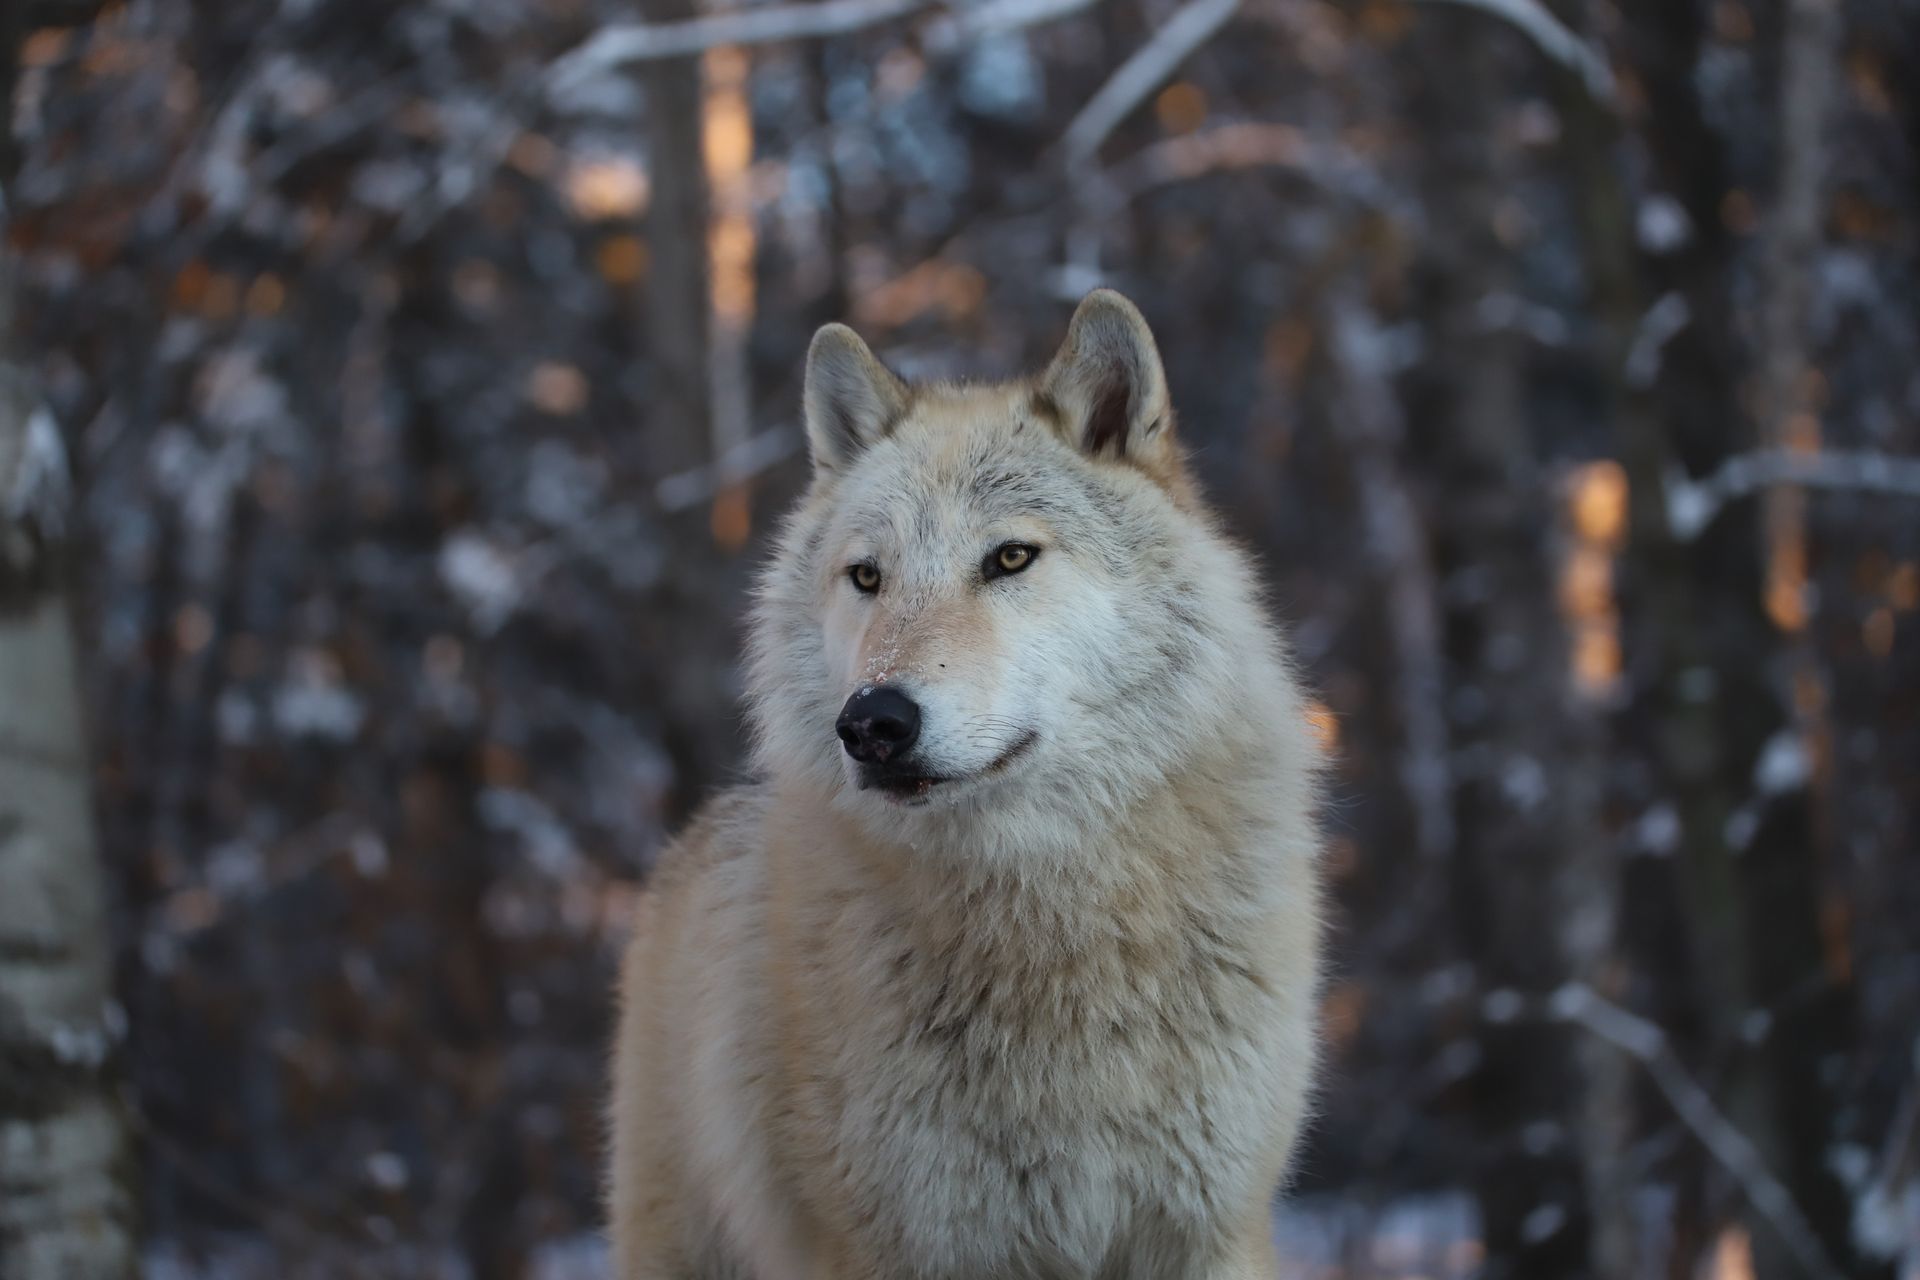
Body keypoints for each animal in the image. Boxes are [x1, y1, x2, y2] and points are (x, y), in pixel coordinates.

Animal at [607, 290, 1326, 1280]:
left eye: (1011, 559)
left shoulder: (1206, 1232)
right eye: (868, 576)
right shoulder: (903, 1246)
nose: (872, 724)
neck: (1052, 940)